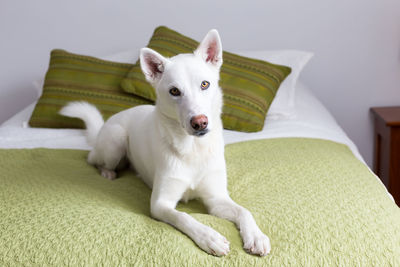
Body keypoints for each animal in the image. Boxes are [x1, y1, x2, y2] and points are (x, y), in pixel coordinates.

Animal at [59, 29, 270, 258]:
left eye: (205, 84)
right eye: (174, 91)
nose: (200, 122)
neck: (192, 149)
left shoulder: (217, 200)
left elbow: (244, 211)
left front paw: (256, 236)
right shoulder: (160, 204)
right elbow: (184, 217)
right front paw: (209, 237)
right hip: (115, 139)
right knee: (94, 160)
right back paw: (108, 172)